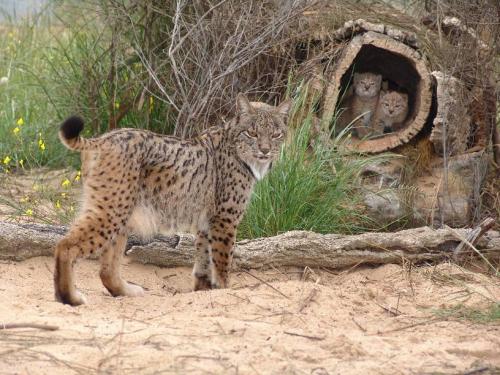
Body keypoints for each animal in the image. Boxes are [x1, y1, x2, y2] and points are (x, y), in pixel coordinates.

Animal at [53, 93, 292, 306]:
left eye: (276, 134)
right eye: (252, 133)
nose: (265, 150)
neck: (237, 147)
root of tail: (103, 138)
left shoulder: (206, 221)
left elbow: (203, 258)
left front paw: (203, 290)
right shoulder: (225, 219)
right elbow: (222, 260)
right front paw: (225, 290)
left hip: (120, 210)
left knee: (106, 270)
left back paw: (126, 292)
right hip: (112, 209)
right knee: (65, 245)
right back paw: (69, 298)